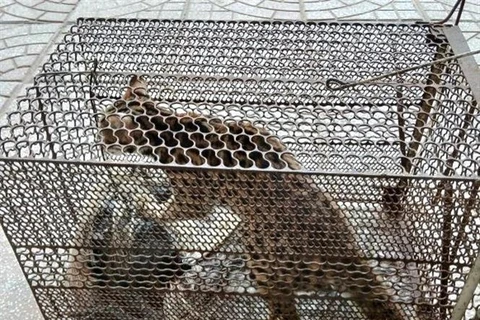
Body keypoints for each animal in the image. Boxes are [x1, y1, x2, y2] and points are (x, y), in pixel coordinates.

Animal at [94, 75, 408, 320]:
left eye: (103, 126)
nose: (98, 136)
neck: (164, 122)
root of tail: (346, 254)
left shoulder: (193, 197)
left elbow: (170, 209)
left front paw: (146, 204)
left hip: (258, 252)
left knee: (284, 308)